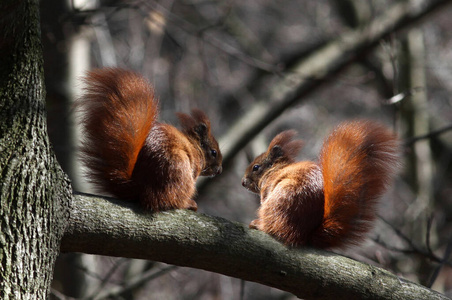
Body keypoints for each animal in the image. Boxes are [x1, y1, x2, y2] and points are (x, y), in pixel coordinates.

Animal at [77, 67, 222, 211]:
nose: (219, 170)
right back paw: (188, 203)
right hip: (179, 171)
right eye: (213, 152)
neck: (194, 146)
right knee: (169, 199)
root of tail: (139, 189)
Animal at [244, 120, 400, 250]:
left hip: (278, 204)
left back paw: (259, 225)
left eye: (256, 167)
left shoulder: (268, 187)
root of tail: (305, 235)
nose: (243, 182)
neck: (275, 170)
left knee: (277, 230)